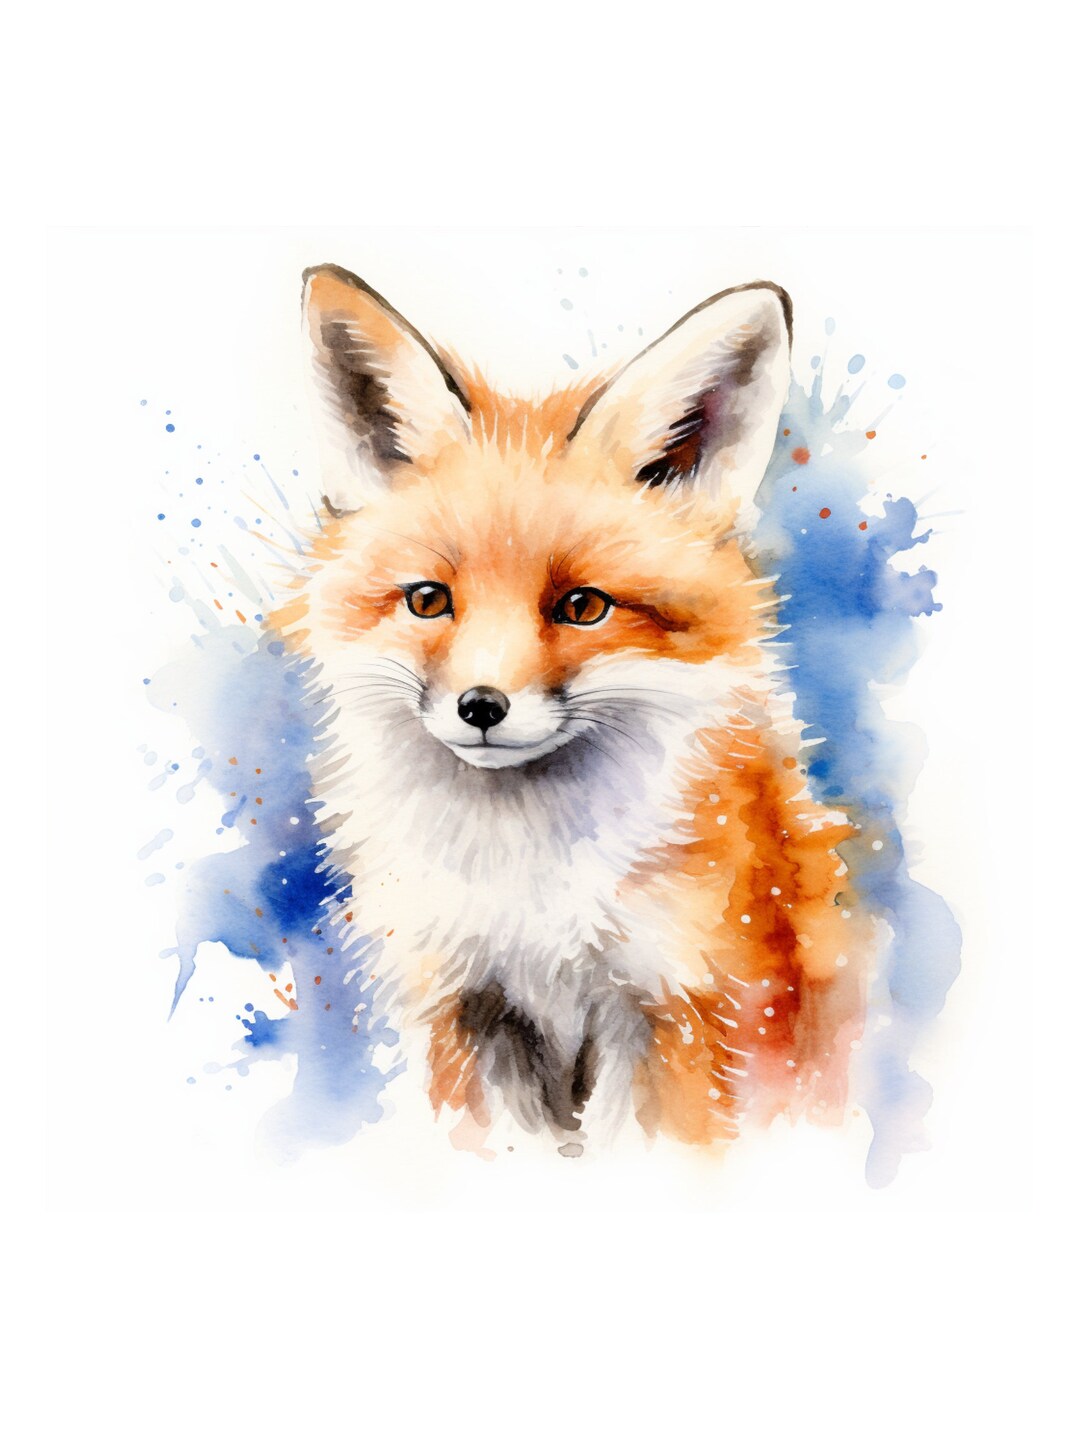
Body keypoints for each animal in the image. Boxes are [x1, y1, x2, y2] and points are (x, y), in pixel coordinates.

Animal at [268, 263, 872, 1155]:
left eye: (583, 607)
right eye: (428, 600)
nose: (481, 706)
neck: (528, 887)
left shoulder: (681, 1008)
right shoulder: (467, 1008)